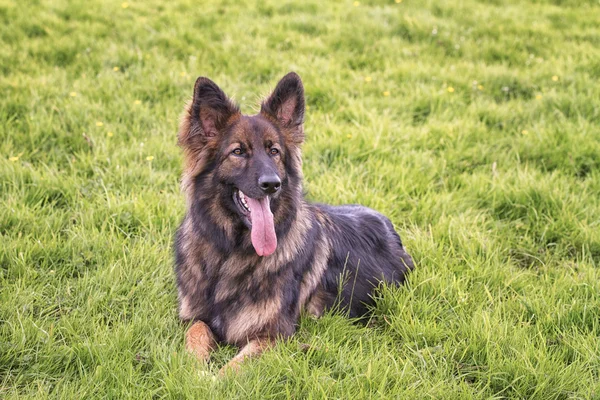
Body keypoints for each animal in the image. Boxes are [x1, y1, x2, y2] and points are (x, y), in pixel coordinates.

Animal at [176, 71, 414, 372]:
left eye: (274, 151)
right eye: (238, 152)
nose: (272, 184)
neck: (230, 254)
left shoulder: (272, 335)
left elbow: (233, 368)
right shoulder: (196, 317)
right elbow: (195, 334)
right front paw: (192, 373)